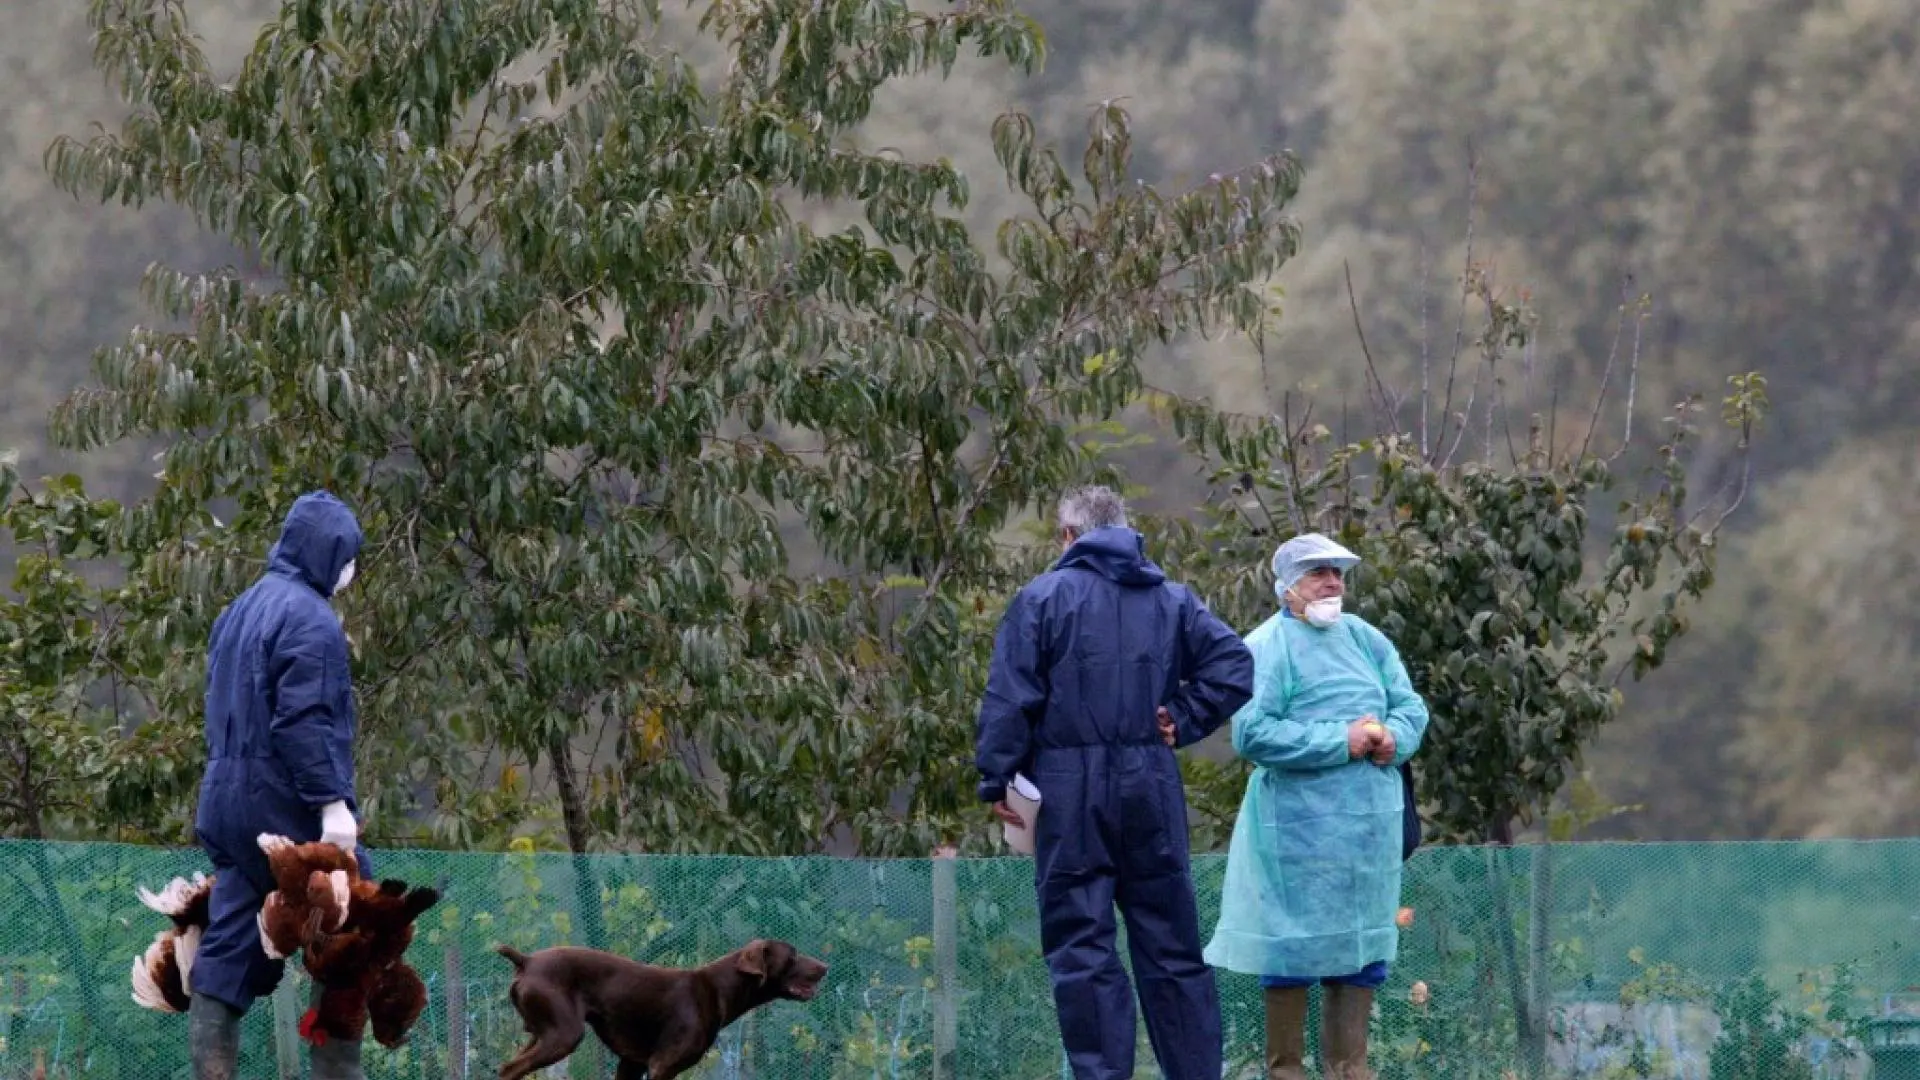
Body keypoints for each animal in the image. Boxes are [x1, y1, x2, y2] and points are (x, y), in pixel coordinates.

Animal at [491, 933, 829, 1076]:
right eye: (793, 955)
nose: (826, 966)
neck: (716, 987)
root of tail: (527, 961)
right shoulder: (662, 1065)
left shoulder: (632, 1065)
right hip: (564, 1035)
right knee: (509, 1069)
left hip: (542, 1034)